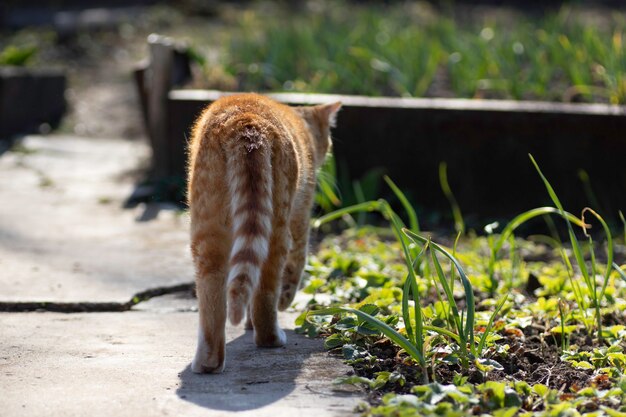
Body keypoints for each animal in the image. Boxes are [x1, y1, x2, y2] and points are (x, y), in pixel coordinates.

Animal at [188, 92, 338, 372]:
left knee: (213, 299)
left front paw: (247, 323)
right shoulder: (301, 218)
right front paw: (282, 302)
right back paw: (272, 337)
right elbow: (294, 271)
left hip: (207, 230)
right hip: (277, 227)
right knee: (267, 289)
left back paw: (208, 363)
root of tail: (245, 120)